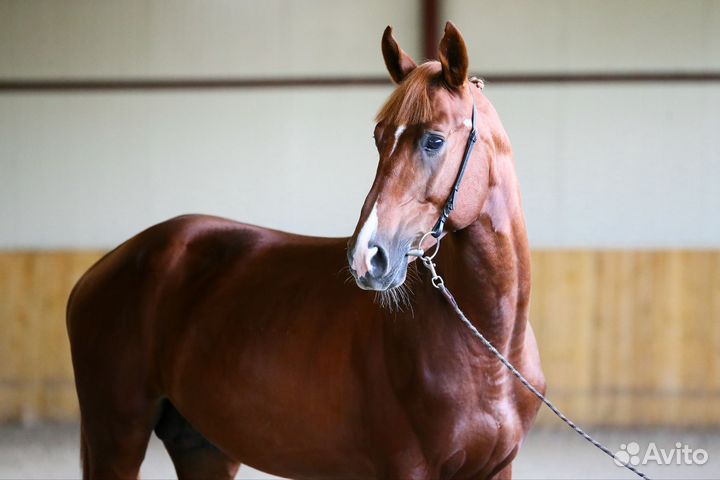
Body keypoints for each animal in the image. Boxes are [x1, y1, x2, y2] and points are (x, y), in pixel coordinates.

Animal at [67, 22, 545, 480]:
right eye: (378, 138)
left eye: (435, 140)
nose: (367, 257)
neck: (488, 351)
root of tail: (100, 270)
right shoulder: (407, 468)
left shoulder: (498, 470)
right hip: (117, 443)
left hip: (202, 449)